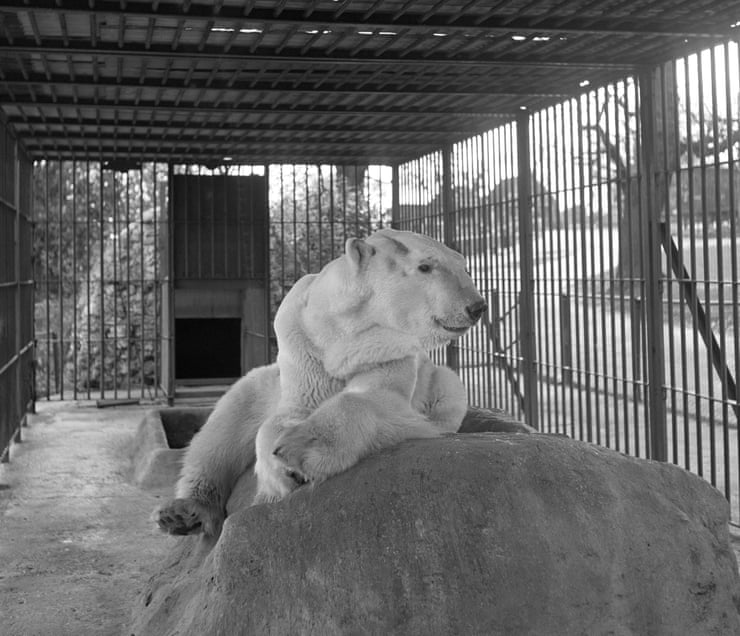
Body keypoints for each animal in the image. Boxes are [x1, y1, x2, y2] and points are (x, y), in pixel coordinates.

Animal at [156, 228, 488, 537]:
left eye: (464, 266)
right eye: (425, 266)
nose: (477, 306)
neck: (340, 330)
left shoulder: (387, 349)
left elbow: (381, 400)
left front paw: (302, 447)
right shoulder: (301, 341)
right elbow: (289, 411)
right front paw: (280, 472)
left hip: (439, 383)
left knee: (448, 390)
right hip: (260, 383)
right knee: (223, 426)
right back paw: (183, 512)